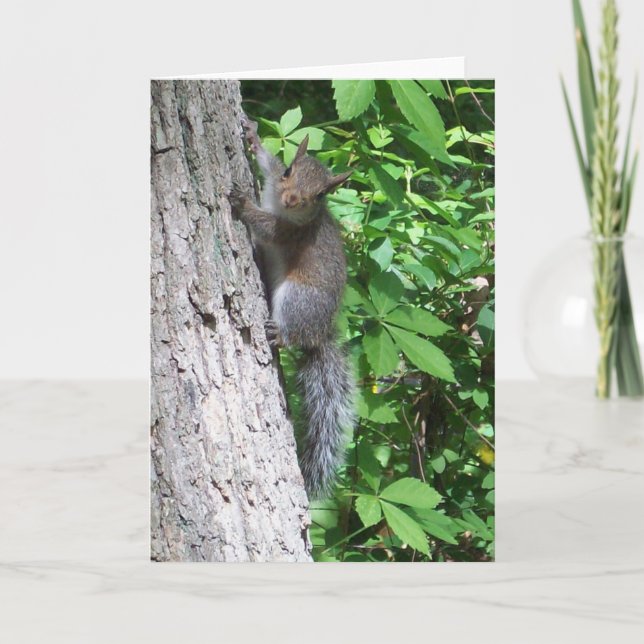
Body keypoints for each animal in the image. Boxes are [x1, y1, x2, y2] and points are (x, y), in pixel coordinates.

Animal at [230, 115, 355, 500]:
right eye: (289, 171)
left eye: (320, 195)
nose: (291, 198)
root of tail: (319, 334)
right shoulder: (272, 182)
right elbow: (266, 164)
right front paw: (253, 138)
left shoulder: (289, 233)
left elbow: (268, 229)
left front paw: (243, 203)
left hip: (297, 298)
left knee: (292, 333)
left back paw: (279, 334)